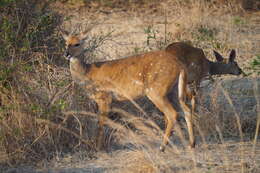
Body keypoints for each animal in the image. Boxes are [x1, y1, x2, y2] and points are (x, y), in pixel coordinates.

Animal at [62, 30, 194, 151]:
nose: (67, 54)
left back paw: (162, 146)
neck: (88, 73)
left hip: (156, 91)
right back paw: (191, 144)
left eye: (77, 44)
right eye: (66, 43)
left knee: (172, 113)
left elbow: (101, 122)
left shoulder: (105, 97)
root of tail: (180, 65)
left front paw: (98, 148)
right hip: (174, 91)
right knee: (186, 110)